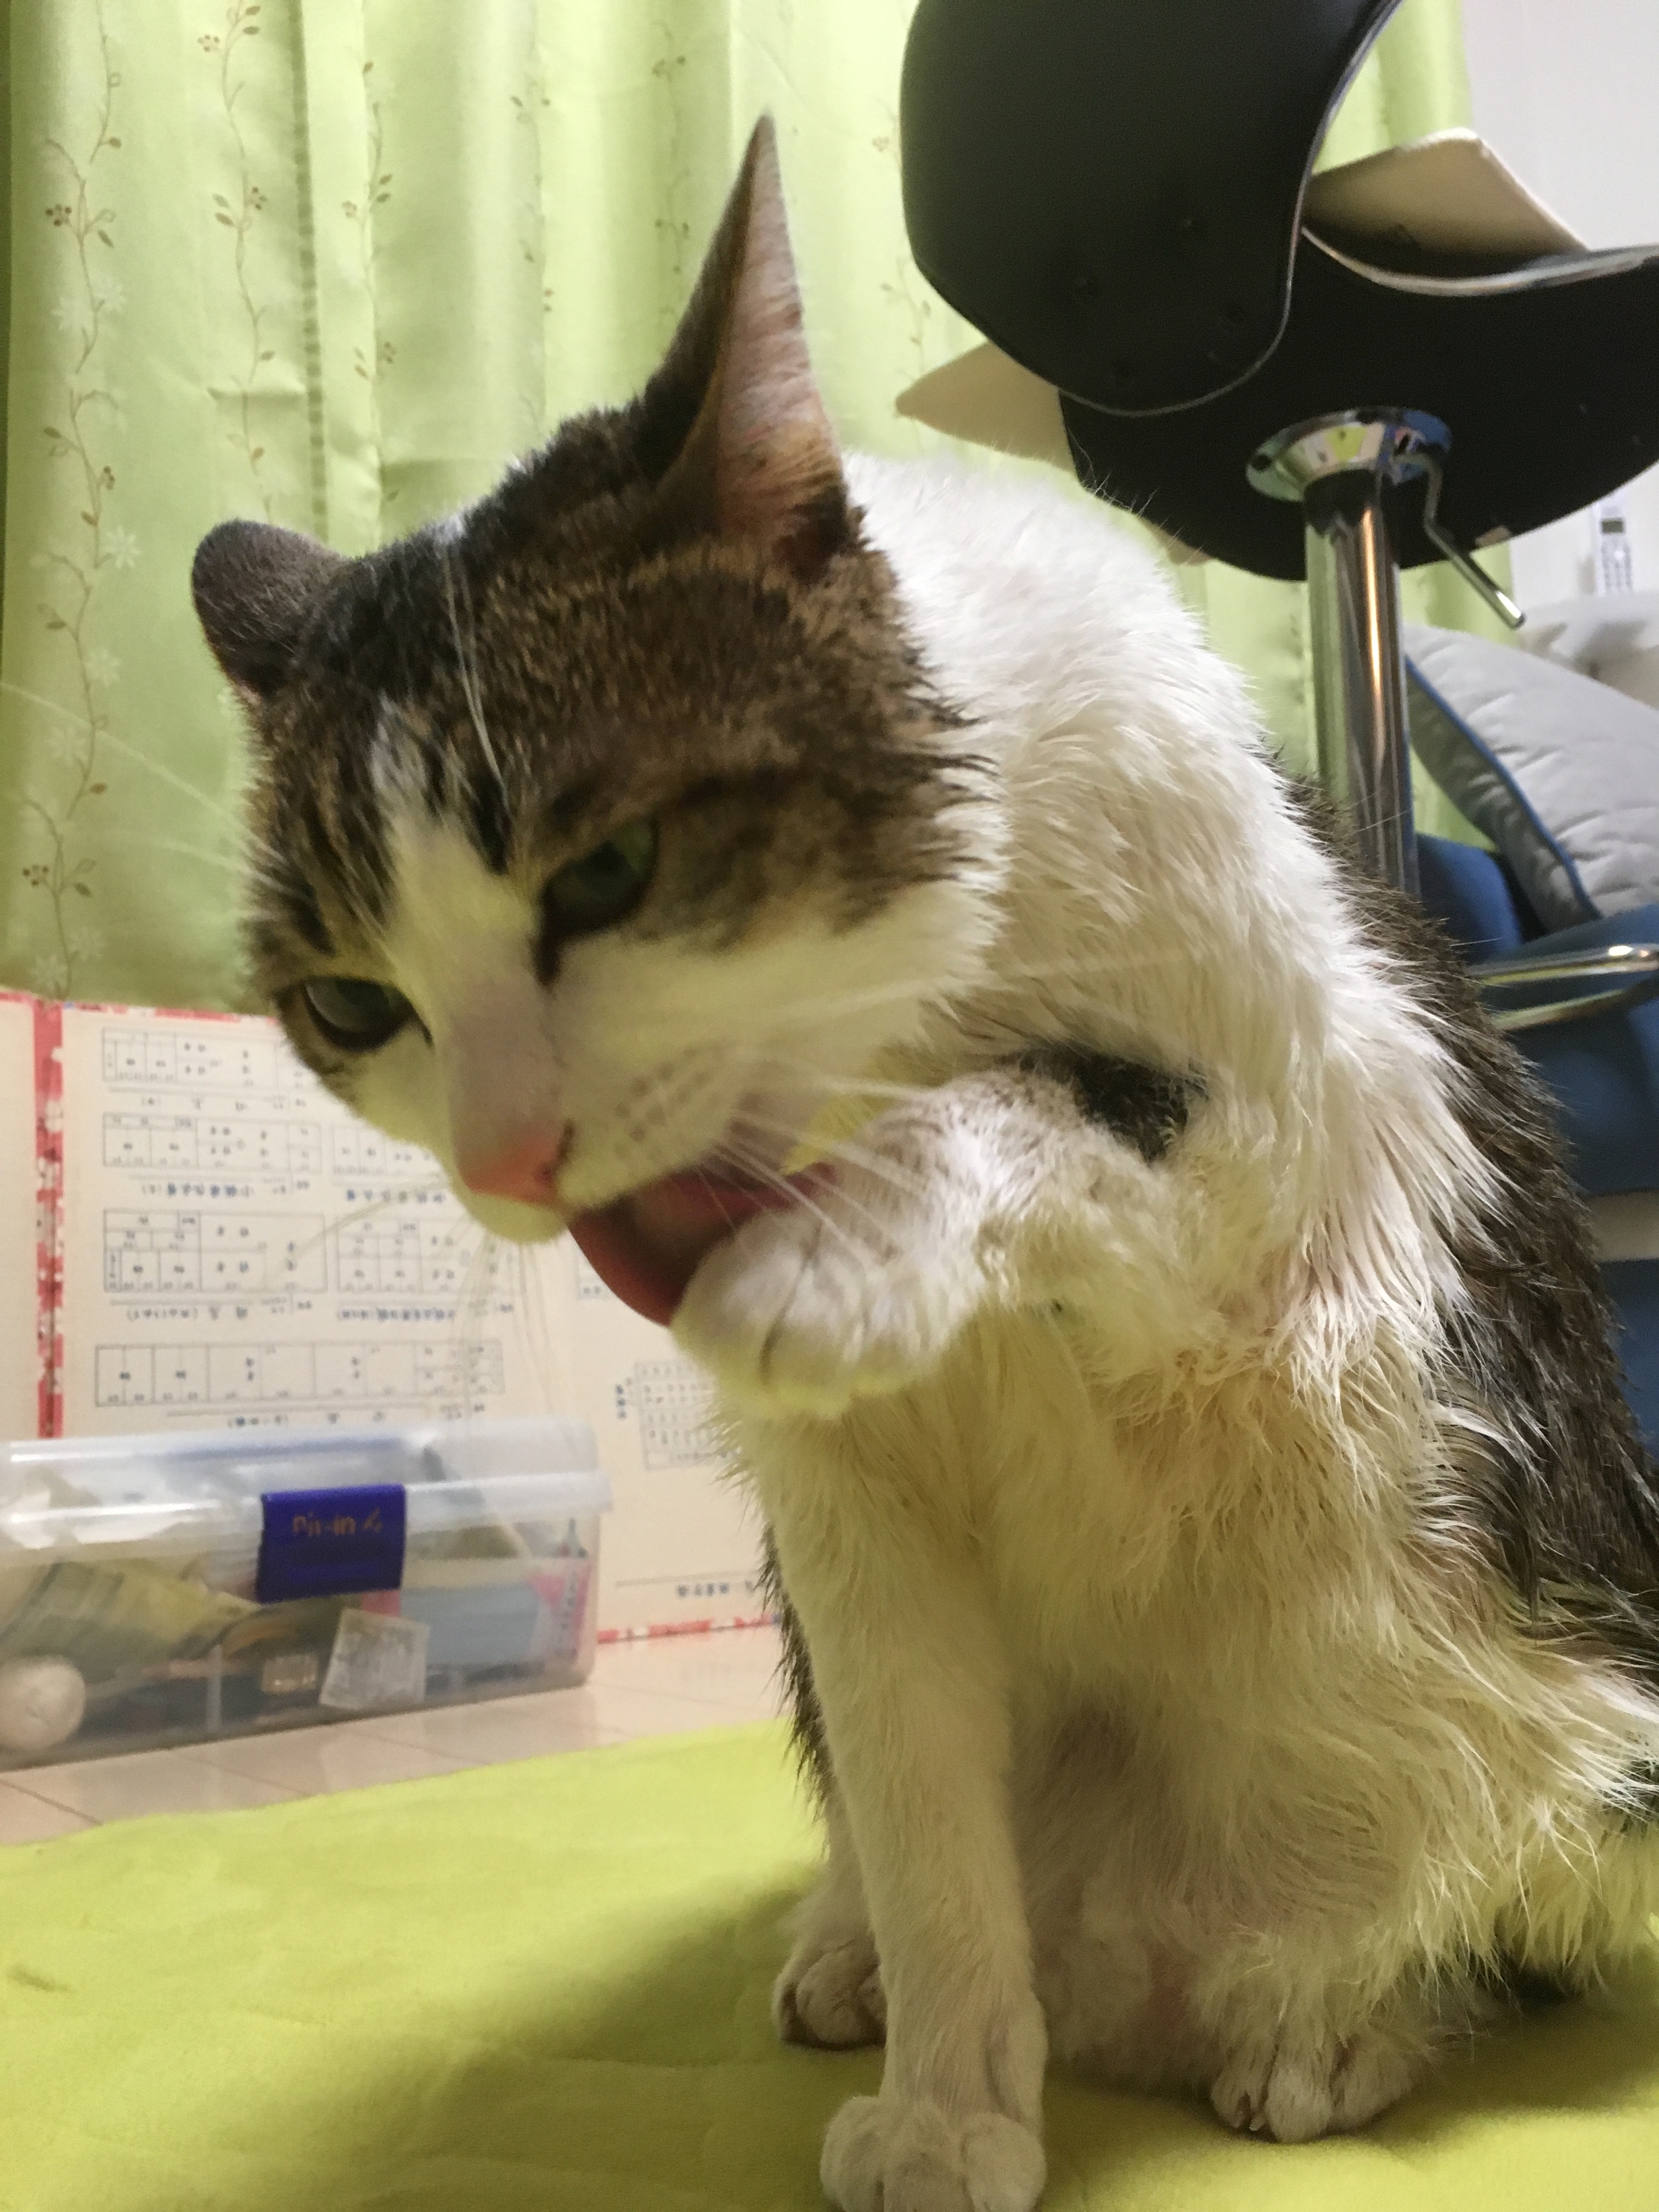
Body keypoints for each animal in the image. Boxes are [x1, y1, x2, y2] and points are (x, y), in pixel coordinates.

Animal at [193, 119, 1659, 2212]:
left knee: (1489, 1908)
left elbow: (1050, 1110)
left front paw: (844, 1253)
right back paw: (860, 1954)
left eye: (610, 872)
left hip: (1581, 1718)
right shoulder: (852, 1531)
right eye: (349, 1003)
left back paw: (1333, 2014)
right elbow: (925, 1814)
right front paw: (958, 2098)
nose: (510, 1159)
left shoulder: (1293, 1171)